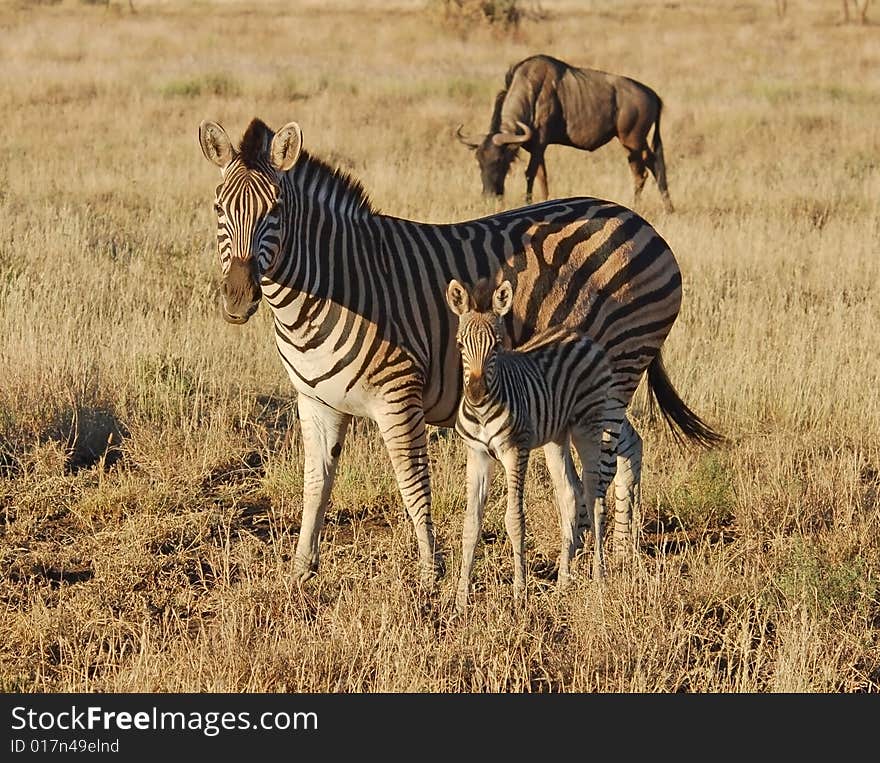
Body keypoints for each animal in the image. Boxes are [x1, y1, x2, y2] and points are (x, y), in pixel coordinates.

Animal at [444, 278, 624, 612]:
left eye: (497, 346)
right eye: (460, 345)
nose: (475, 393)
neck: (483, 410)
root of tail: (579, 334)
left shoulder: (516, 451)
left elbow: (514, 519)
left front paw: (520, 593)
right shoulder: (477, 455)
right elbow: (471, 523)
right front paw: (461, 600)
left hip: (589, 426)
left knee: (594, 496)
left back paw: (599, 577)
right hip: (556, 437)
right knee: (570, 493)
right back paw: (564, 581)